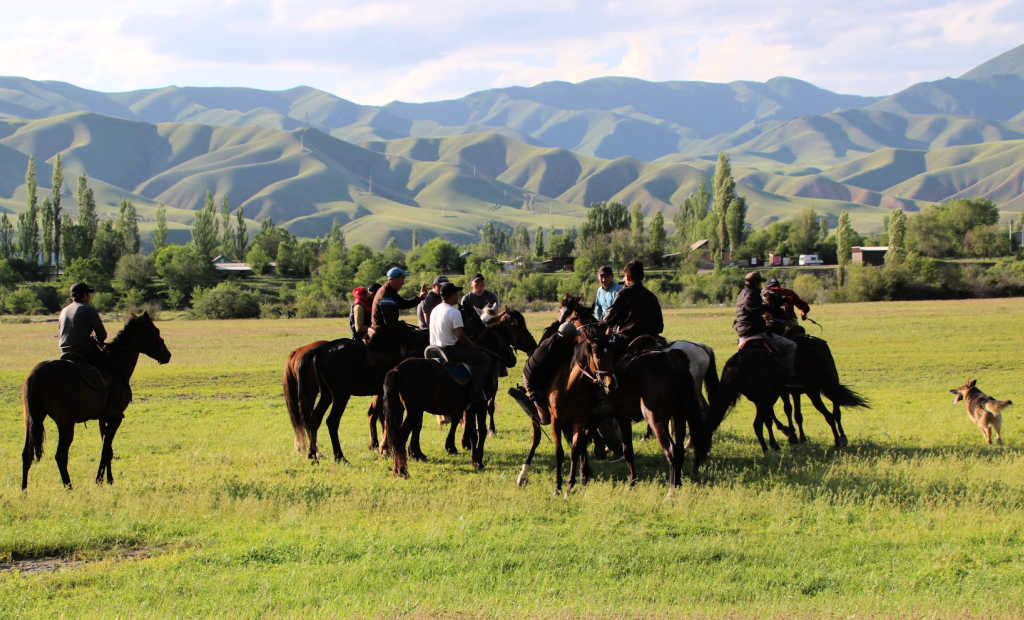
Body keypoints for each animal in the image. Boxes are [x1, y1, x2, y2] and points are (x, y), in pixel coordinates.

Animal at [20, 311, 172, 489]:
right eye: (155, 332)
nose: (167, 355)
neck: (114, 366)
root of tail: (37, 373)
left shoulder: (103, 418)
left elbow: (108, 448)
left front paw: (109, 479)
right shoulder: (115, 418)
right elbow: (106, 450)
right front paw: (99, 480)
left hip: (32, 421)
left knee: (27, 454)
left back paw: (24, 490)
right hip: (65, 424)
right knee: (60, 455)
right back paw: (69, 487)